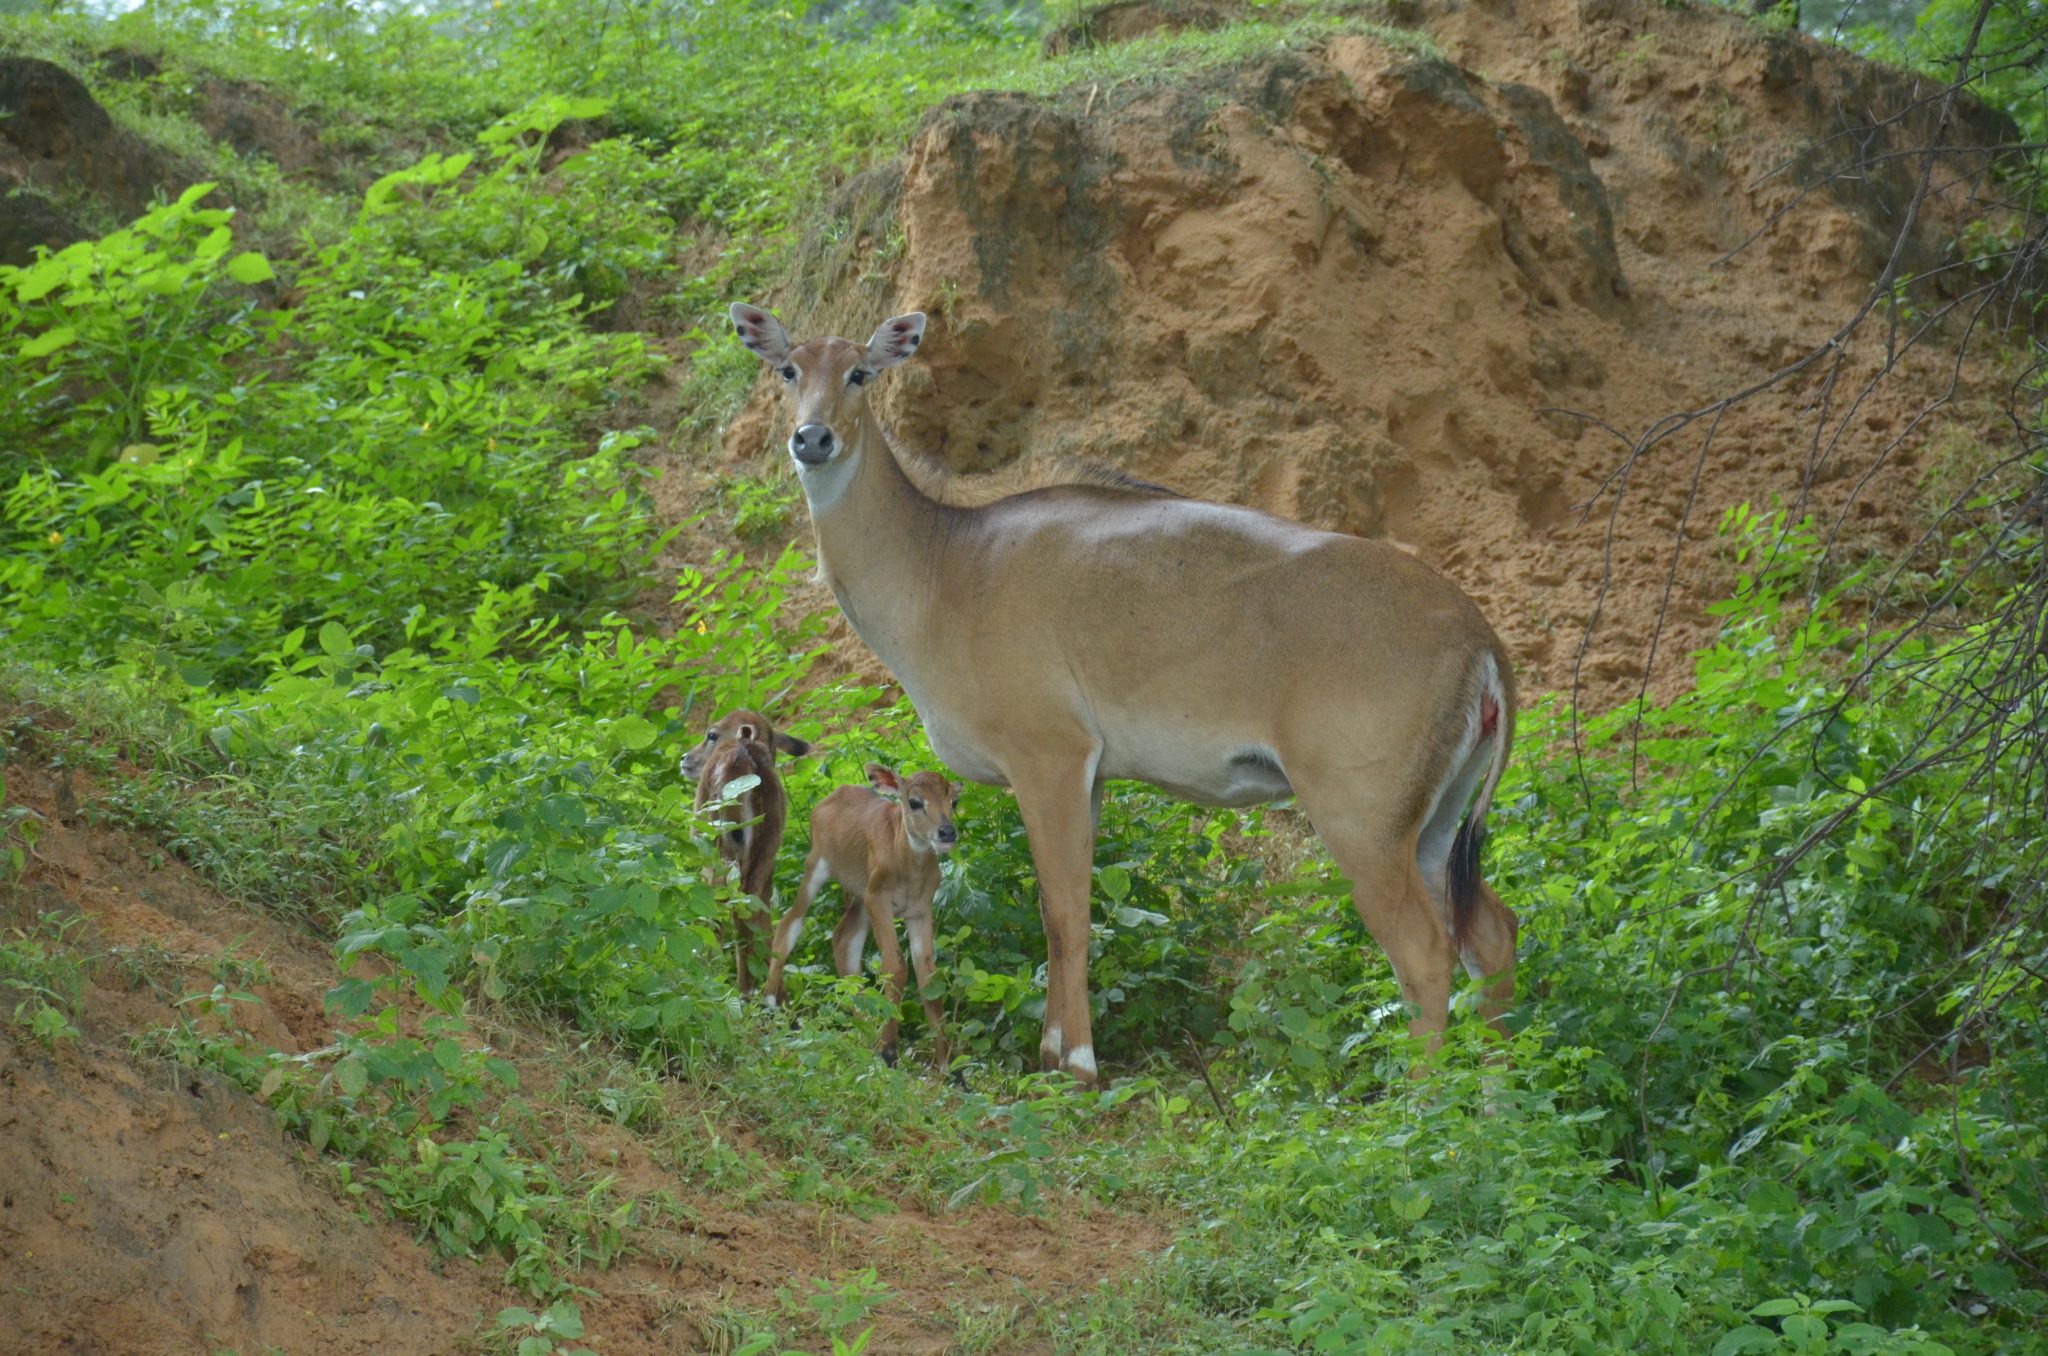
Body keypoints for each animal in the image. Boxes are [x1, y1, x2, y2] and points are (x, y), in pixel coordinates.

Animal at [685, 708, 811, 994]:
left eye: (712, 734)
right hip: (763, 851)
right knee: (753, 913)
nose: (684, 759)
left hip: (719, 845)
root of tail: (744, 755)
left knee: (722, 904)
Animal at [763, 763, 962, 1070]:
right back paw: (773, 1005)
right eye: (914, 801)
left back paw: (864, 1030)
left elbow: (928, 976)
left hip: (858, 896)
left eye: (954, 801)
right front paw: (889, 1051)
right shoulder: (878, 899)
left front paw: (949, 1067)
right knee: (789, 924)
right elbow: (895, 966)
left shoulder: (919, 910)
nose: (947, 832)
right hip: (818, 865)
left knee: (843, 939)